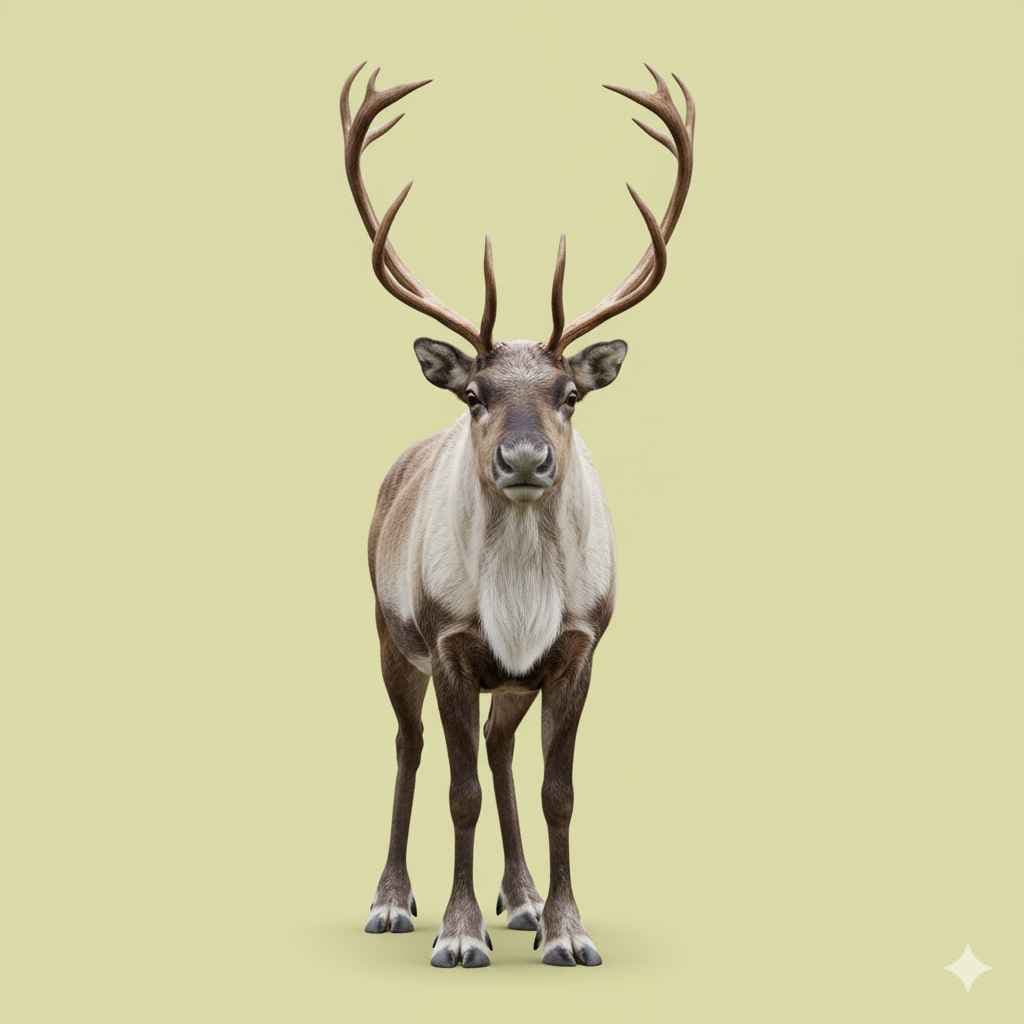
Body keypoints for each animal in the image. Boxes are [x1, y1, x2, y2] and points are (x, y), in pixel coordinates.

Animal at [339, 62, 694, 968]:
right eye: (474, 394)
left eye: (570, 394)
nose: (526, 460)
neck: (521, 603)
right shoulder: (451, 643)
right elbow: (458, 788)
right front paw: (458, 933)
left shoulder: (578, 646)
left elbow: (556, 789)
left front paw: (567, 928)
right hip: (387, 633)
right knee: (410, 748)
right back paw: (391, 900)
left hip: (512, 680)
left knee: (502, 750)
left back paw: (524, 898)